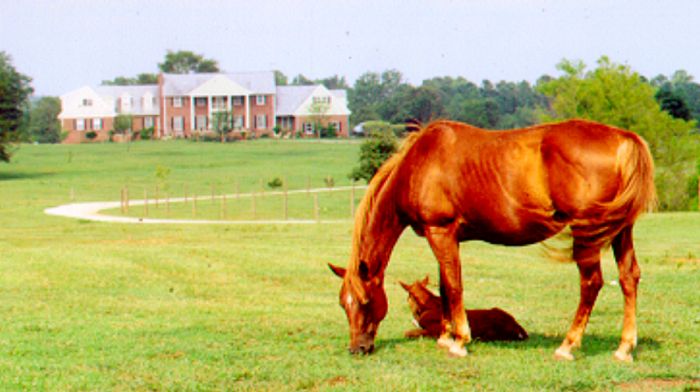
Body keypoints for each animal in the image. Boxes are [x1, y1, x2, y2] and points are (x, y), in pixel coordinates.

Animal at [328, 119, 656, 362]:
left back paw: (567, 345)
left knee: (591, 283)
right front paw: (445, 337)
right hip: (620, 230)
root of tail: (623, 138)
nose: (357, 348)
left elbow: (454, 286)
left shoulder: (440, 231)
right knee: (629, 277)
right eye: (343, 304)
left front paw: (460, 341)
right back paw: (624, 348)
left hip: (587, 232)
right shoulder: (447, 237)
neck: (418, 165)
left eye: (364, 301)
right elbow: (445, 286)